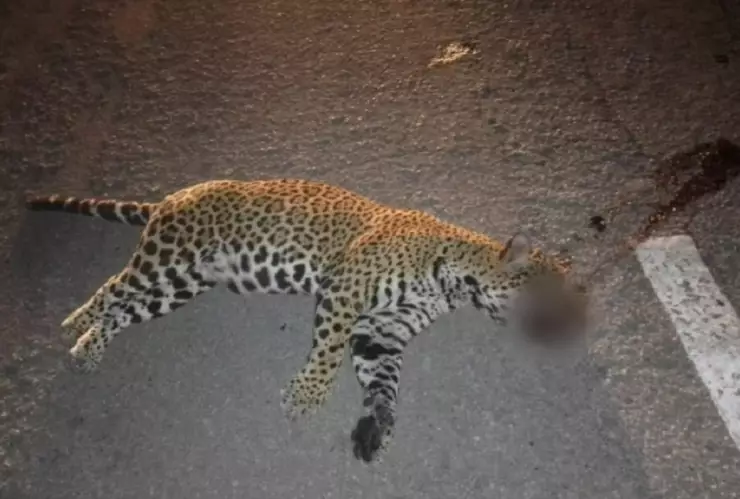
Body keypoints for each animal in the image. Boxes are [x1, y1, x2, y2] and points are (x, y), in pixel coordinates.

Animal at [26, 178, 587, 463]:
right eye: (551, 294)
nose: (582, 322)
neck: (451, 280)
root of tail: (173, 196)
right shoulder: (346, 290)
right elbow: (329, 350)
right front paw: (307, 396)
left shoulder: (383, 330)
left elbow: (382, 379)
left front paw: (376, 427)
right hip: (165, 259)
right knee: (112, 287)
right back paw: (77, 326)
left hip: (181, 283)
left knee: (125, 306)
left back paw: (88, 345)